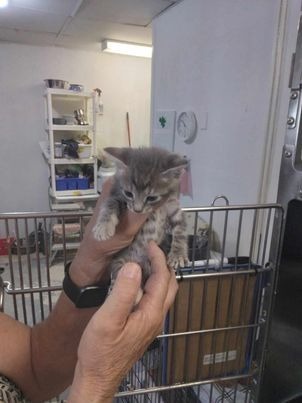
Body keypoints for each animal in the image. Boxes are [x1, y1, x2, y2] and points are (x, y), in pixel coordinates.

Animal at [92, 147, 189, 292]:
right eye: (128, 193)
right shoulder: (116, 193)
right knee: (116, 272)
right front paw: (102, 227)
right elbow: (110, 204)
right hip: (120, 260)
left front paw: (178, 254)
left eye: (151, 198)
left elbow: (181, 229)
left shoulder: (174, 208)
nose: (137, 210)